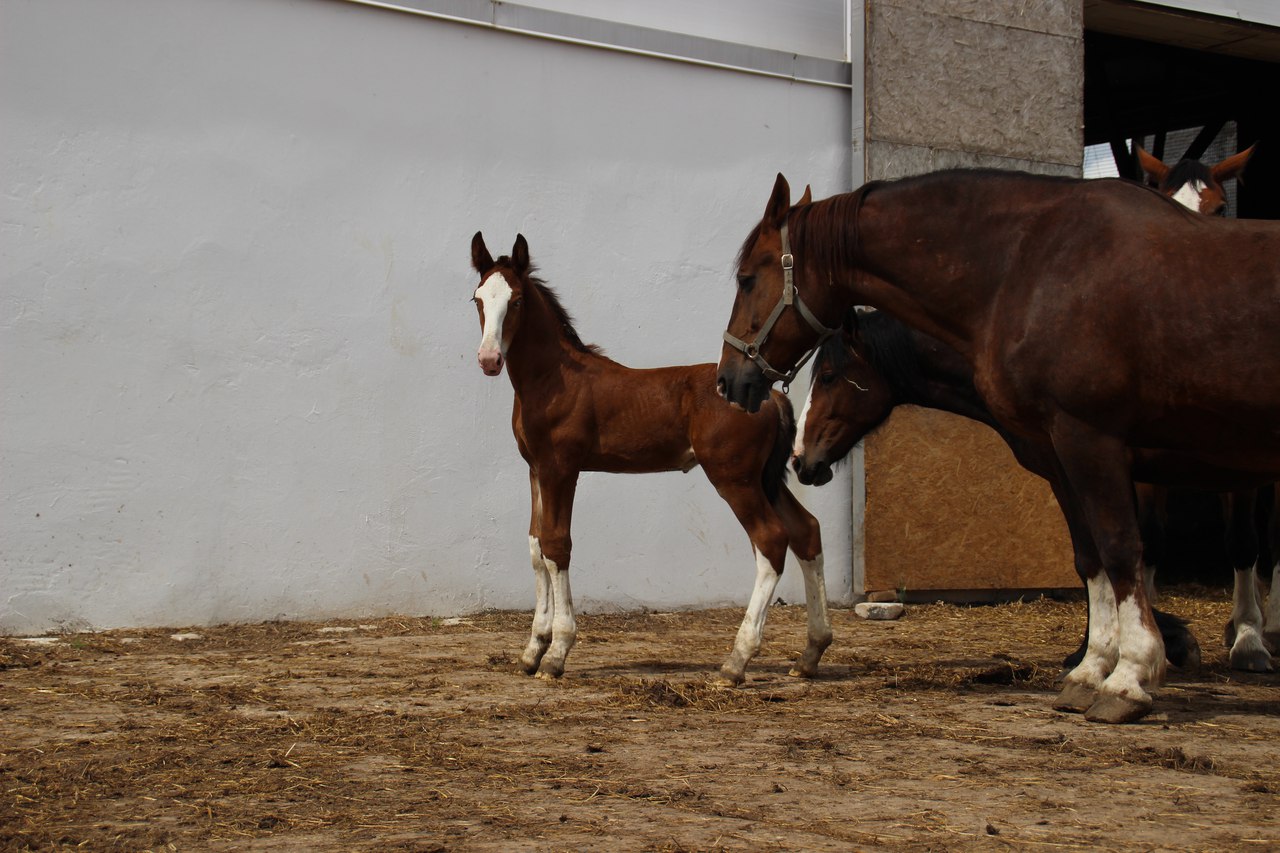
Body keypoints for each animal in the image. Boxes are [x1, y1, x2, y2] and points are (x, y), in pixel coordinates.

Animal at [471, 230, 829, 686]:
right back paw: (811, 652)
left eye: (515, 300)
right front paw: (533, 649)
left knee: (771, 540)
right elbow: (536, 549)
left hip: (735, 478)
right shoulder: (535, 470)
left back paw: (736, 661)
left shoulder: (561, 469)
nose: (489, 360)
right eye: (478, 299)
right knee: (806, 531)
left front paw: (557, 654)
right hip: (765, 478)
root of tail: (772, 397)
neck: (554, 379)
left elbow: (557, 546)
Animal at [716, 171, 1280, 717]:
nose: (730, 381)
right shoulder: (1064, 458)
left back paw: (1251, 640)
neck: (1026, 270)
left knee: (1247, 548)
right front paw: (1092, 664)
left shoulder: (1090, 441)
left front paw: (1130, 674)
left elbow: (1121, 548)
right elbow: (1090, 556)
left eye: (747, 279)